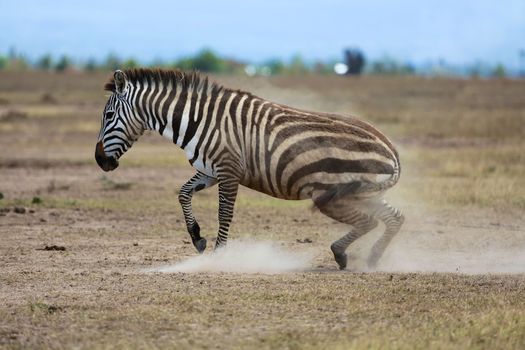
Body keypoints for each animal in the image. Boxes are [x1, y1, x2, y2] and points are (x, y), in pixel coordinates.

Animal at [95, 69, 406, 270]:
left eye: (108, 116)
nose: (100, 160)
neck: (197, 120)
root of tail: (391, 148)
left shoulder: (228, 170)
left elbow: (224, 213)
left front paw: (219, 255)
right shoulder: (209, 171)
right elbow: (183, 193)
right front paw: (197, 238)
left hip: (331, 194)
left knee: (370, 221)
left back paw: (342, 254)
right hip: (362, 193)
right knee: (395, 218)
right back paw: (372, 257)